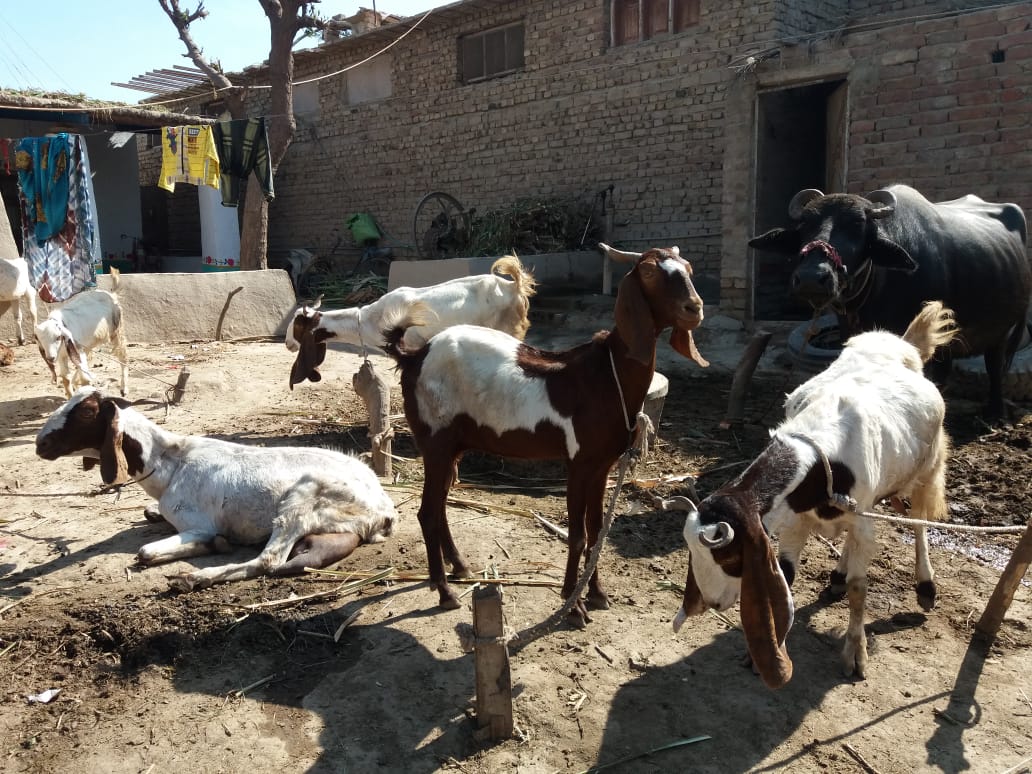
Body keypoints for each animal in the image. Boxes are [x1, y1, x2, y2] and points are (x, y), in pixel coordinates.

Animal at [34, 268, 128, 397]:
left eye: (58, 337)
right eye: (40, 339)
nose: (50, 358)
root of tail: (111, 294)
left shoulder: (75, 348)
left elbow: (84, 378)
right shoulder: (63, 355)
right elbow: (66, 378)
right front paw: (71, 395)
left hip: (117, 331)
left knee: (123, 357)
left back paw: (124, 389)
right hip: (88, 343)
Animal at [35, 388, 399, 591]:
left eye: (86, 412)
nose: (41, 443)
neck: (170, 464)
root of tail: (384, 509)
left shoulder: (199, 524)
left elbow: (145, 551)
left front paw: (213, 545)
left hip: (301, 500)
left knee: (268, 561)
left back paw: (194, 579)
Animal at [383, 243, 710, 627]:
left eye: (689, 267)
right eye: (648, 272)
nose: (694, 308)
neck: (606, 374)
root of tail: (414, 356)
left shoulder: (602, 466)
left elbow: (596, 531)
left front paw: (597, 594)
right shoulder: (579, 463)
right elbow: (578, 535)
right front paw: (572, 602)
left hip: (454, 446)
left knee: (440, 506)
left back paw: (460, 568)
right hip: (434, 440)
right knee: (427, 513)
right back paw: (445, 591)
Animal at [672, 301, 958, 688]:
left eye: (730, 557)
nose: (711, 604)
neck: (823, 457)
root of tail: (902, 345)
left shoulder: (863, 516)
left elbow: (859, 588)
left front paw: (855, 655)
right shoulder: (795, 518)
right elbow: (788, 575)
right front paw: (761, 652)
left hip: (927, 469)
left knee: (919, 524)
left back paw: (925, 585)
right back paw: (836, 577)